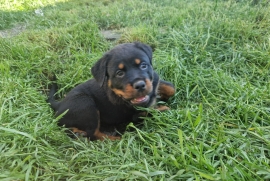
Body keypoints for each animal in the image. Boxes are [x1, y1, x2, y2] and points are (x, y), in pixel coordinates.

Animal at [47, 41, 175, 141]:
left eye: (143, 65)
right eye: (119, 73)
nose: (140, 85)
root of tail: (59, 104)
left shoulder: (155, 81)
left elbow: (171, 88)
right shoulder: (136, 115)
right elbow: (151, 112)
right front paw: (163, 109)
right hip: (86, 104)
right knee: (93, 134)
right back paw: (116, 139)